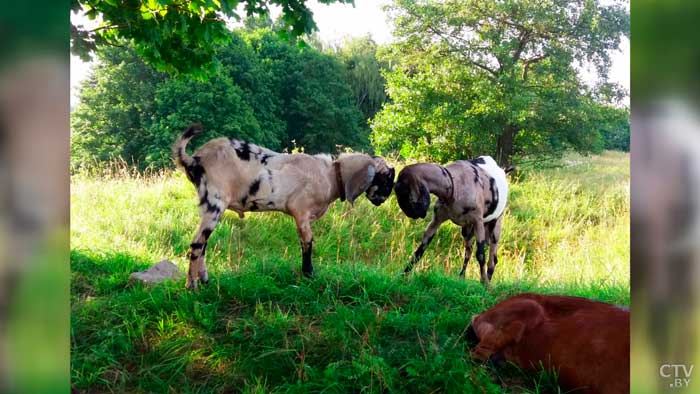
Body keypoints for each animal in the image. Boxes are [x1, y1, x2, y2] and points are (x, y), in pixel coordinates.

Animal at [172, 123, 396, 290]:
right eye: (385, 179)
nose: (384, 199)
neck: (330, 176)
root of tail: (194, 160)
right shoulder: (301, 213)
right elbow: (307, 243)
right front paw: (309, 274)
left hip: (209, 207)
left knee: (203, 244)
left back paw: (205, 280)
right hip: (214, 203)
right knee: (197, 244)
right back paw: (191, 285)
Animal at [394, 155, 516, 284]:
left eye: (406, 194)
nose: (410, 214)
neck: (454, 183)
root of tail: (503, 171)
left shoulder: (478, 222)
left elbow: (481, 255)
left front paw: (484, 282)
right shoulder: (437, 220)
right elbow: (420, 249)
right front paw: (403, 275)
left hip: (495, 227)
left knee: (492, 259)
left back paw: (487, 279)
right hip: (467, 230)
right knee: (468, 251)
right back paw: (462, 276)